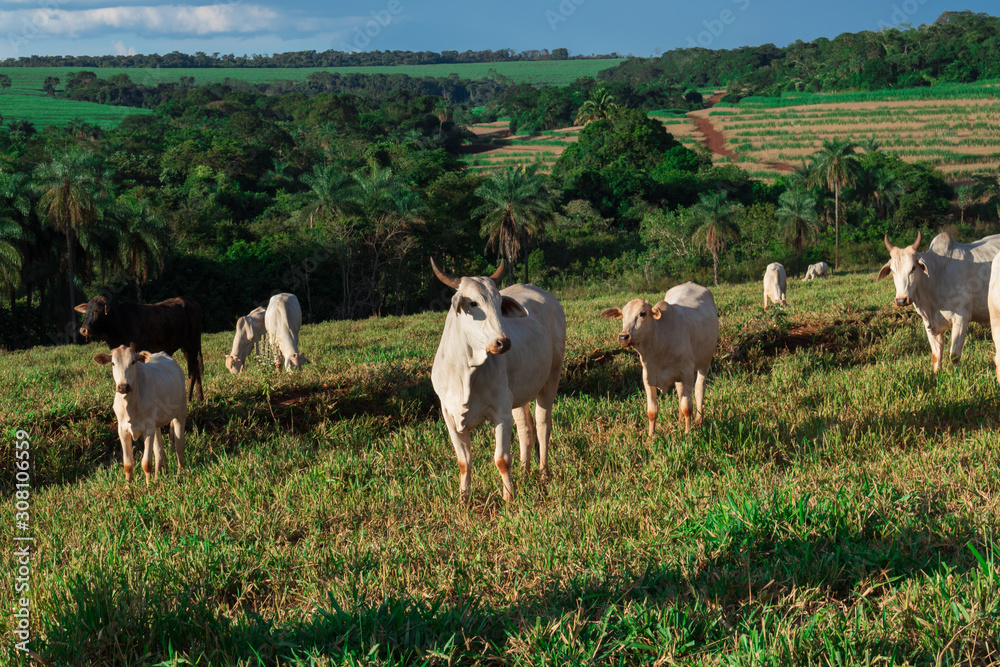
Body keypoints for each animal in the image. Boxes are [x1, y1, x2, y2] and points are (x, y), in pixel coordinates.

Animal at [75, 296, 204, 401]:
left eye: (97, 311)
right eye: (86, 311)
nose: (83, 330)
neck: (120, 323)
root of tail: (194, 302)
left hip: (193, 343)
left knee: (192, 372)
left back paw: (189, 399)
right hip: (186, 347)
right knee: (196, 368)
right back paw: (200, 399)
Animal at [93, 345, 187, 484]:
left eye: (133, 362)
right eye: (113, 363)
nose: (123, 387)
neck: (130, 404)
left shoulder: (148, 430)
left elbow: (146, 463)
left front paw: (148, 487)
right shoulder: (123, 430)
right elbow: (128, 464)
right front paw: (128, 486)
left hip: (180, 413)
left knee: (179, 446)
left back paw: (180, 474)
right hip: (156, 425)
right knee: (159, 451)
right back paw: (157, 478)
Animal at [430, 258, 566, 503]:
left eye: (499, 303)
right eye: (473, 303)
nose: (503, 342)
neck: (465, 371)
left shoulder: (501, 412)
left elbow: (502, 460)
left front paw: (508, 498)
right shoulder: (449, 415)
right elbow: (463, 462)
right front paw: (463, 500)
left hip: (552, 375)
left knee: (543, 424)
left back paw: (543, 473)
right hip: (518, 394)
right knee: (525, 428)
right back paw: (524, 472)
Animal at [602, 282, 718, 436]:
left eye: (642, 313)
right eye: (623, 315)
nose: (623, 337)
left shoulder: (687, 373)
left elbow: (687, 407)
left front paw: (688, 433)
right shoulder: (648, 377)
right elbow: (652, 412)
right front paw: (651, 436)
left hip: (706, 361)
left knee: (700, 388)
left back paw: (699, 420)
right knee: (679, 391)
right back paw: (680, 420)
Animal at [878, 231, 1000, 372]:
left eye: (913, 268)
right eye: (892, 270)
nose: (901, 300)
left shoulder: (961, 319)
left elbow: (954, 355)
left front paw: (956, 374)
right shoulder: (929, 323)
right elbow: (936, 355)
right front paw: (936, 374)